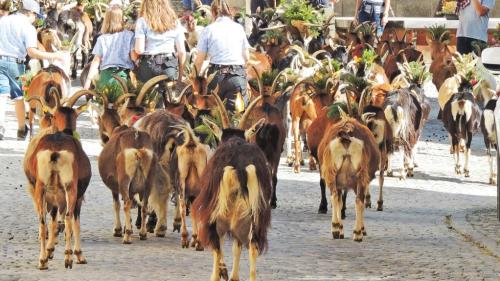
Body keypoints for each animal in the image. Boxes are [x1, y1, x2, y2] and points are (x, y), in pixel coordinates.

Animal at [23, 89, 92, 270]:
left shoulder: (52, 198)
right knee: (68, 218)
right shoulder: (79, 195)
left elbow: (53, 220)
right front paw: (79, 255)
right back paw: (68, 259)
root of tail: (55, 152)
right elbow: (76, 222)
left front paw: (50, 251)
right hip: (70, 188)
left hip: (41, 189)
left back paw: (42, 261)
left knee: (42, 221)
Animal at [192, 89, 272, 280]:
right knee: (252, 245)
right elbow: (237, 248)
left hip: (217, 211)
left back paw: (219, 272)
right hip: (255, 215)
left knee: (217, 243)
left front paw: (222, 270)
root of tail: (240, 166)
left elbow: (219, 246)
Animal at [318, 112, 380, 240]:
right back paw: (357, 233)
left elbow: (340, 201)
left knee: (334, 196)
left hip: (331, 172)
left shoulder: (340, 183)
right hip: (361, 174)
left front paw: (340, 230)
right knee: (359, 200)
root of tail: (346, 135)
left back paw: (335, 229)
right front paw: (363, 229)